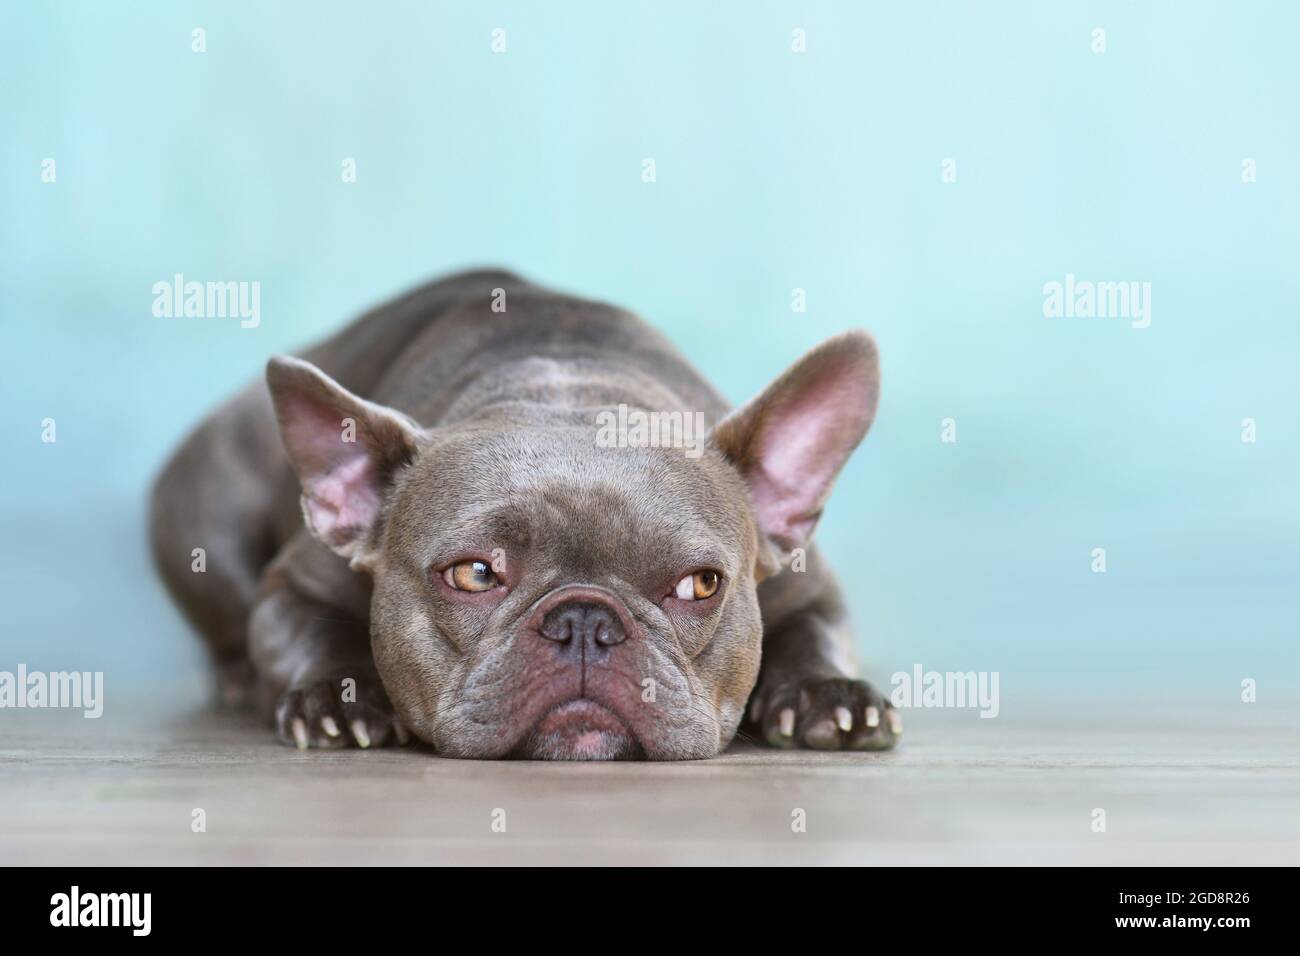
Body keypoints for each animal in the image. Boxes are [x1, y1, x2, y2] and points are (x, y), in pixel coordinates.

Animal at [152, 270, 899, 764]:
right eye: (475, 574)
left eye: (700, 585)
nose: (585, 622)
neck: (566, 389)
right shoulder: (293, 585)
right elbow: (309, 631)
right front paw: (338, 700)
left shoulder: (808, 582)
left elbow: (816, 629)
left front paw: (827, 692)